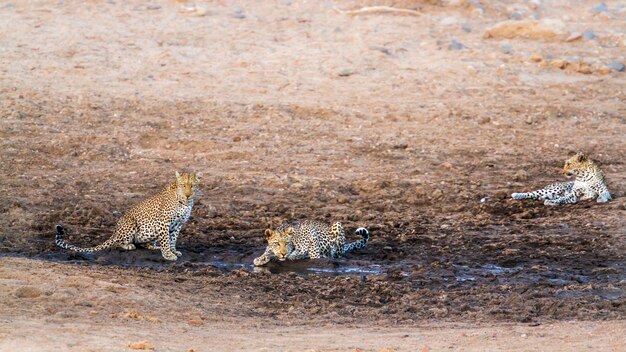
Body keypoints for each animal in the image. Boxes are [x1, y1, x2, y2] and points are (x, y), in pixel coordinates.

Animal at [57, 172, 200, 260]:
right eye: (183, 185)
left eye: (192, 186)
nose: (188, 195)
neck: (185, 202)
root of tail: (114, 232)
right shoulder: (164, 222)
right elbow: (166, 240)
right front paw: (168, 255)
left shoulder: (178, 224)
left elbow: (173, 239)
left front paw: (173, 251)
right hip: (130, 224)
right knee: (116, 243)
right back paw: (128, 245)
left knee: (144, 244)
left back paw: (153, 246)